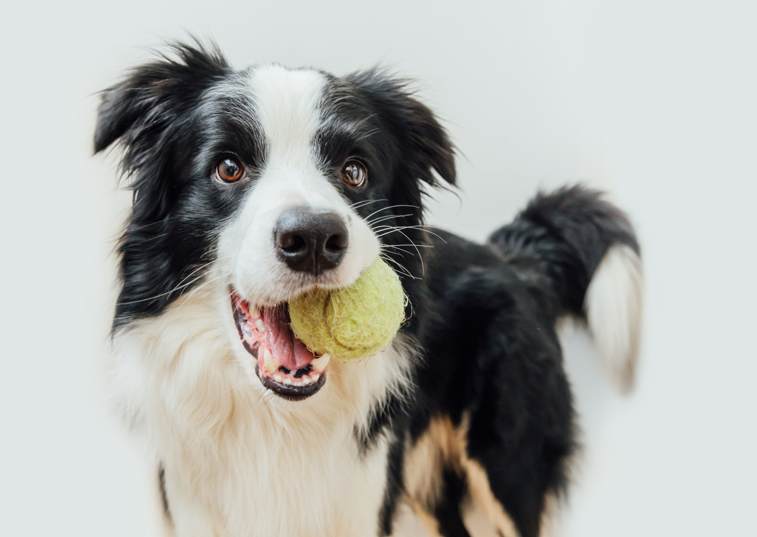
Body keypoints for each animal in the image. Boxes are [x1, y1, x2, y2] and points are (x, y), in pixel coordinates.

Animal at [93, 42, 636, 536]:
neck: (276, 420)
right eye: (228, 167)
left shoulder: (365, 496)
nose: (314, 238)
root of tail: (516, 260)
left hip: (507, 466)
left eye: (354, 171)